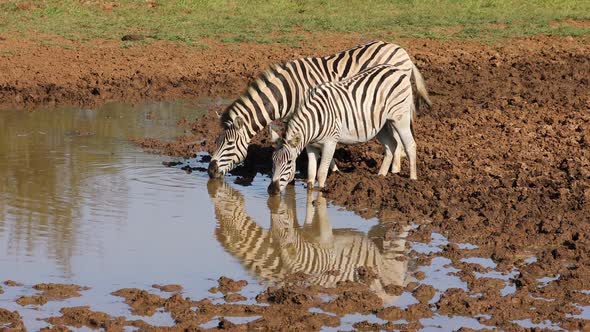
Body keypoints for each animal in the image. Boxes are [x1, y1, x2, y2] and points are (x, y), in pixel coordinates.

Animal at [208, 40, 430, 179]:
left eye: (229, 144)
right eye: (216, 141)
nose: (210, 171)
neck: (288, 92)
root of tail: (402, 50)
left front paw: (329, 169)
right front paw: (331, 168)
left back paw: (396, 168)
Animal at [270, 63, 416, 195]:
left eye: (289, 162)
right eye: (273, 160)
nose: (271, 190)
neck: (315, 122)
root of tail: (396, 69)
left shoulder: (330, 142)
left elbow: (321, 173)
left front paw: (321, 192)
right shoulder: (310, 146)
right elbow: (311, 174)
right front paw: (310, 193)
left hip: (400, 119)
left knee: (410, 145)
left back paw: (412, 179)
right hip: (382, 125)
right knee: (391, 145)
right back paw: (381, 177)